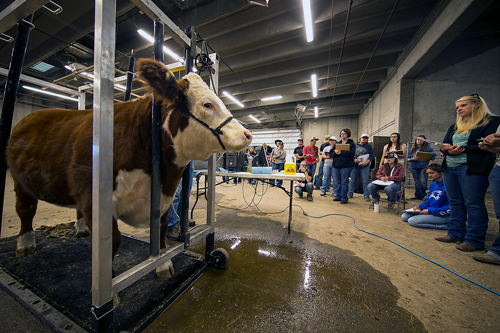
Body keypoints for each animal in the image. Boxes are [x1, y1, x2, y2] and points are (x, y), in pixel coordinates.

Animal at [5, 58, 252, 276]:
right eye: (207, 104)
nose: (247, 134)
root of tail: (32, 115)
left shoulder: (162, 198)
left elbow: (161, 230)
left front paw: (163, 265)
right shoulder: (93, 200)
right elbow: (113, 242)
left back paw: (81, 229)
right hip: (20, 180)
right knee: (25, 209)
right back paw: (25, 244)